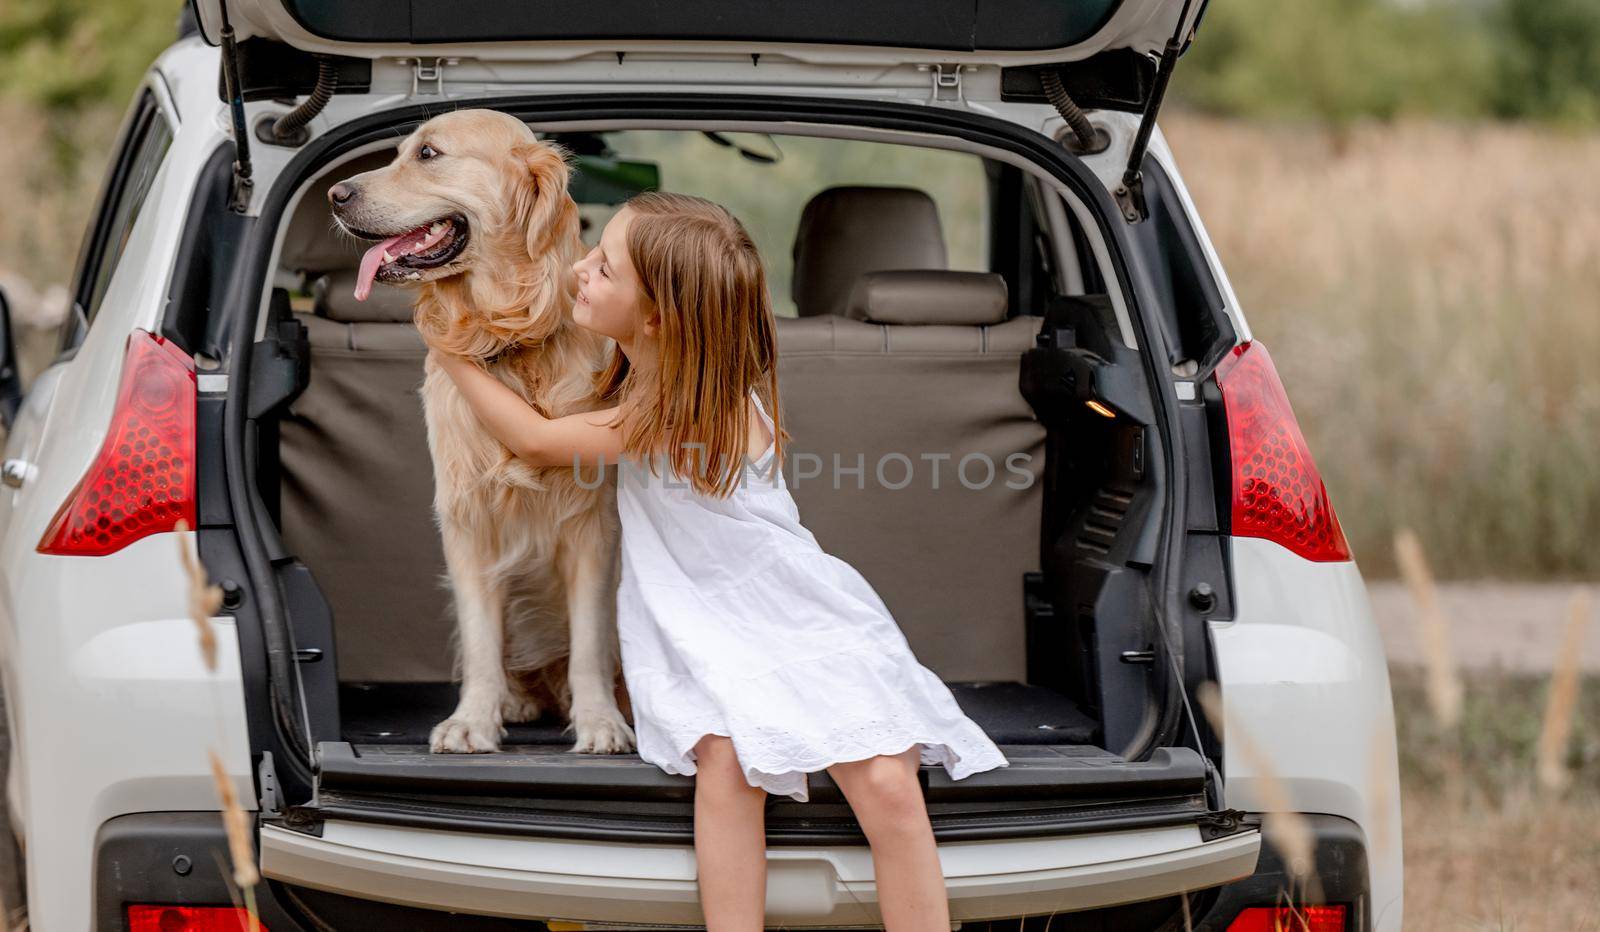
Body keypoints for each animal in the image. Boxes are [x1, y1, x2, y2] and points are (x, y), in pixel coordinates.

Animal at [328, 109, 633, 755]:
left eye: (429, 154)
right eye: (399, 152)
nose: (334, 195)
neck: (510, 338)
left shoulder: (593, 528)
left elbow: (591, 644)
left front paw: (600, 720)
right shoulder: (466, 522)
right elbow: (479, 640)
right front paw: (473, 719)